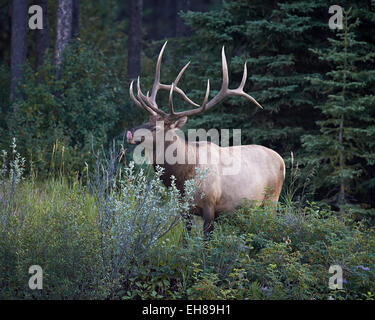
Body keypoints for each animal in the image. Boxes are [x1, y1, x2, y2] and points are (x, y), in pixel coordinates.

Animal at [126, 41, 284, 234]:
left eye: (156, 127)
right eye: (146, 120)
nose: (130, 132)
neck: (184, 177)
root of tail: (282, 161)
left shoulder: (210, 205)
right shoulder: (184, 209)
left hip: (271, 199)